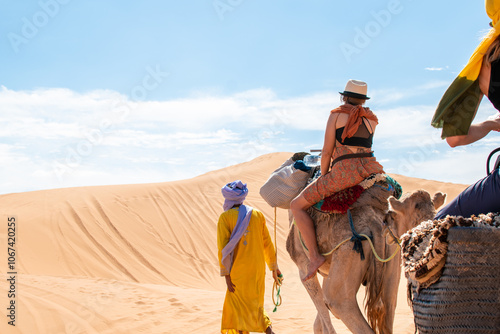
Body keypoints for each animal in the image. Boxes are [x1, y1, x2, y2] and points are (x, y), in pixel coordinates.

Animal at [286, 183, 446, 334]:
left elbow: (323, 314)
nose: (387, 222)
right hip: (390, 272)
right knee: (388, 309)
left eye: (393, 215)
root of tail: (375, 224)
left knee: (337, 302)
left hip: (348, 257)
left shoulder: (304, 267)